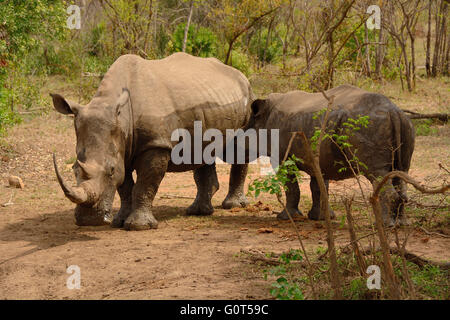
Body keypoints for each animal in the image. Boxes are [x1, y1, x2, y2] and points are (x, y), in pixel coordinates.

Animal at [51, 52, 253, 230]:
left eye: (111, 170)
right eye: (74, 169)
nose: (89, 221)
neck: (121, 117)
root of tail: (240, 74)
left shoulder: (155, 144)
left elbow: (145, 184)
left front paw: (138, 226)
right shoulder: (122, 148)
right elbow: (125, 187)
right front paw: (119, 221)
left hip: (247, 96)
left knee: (239, 147)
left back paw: (233, 206)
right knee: (203, 151)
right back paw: (197, 211)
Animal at [246, 84, 414, 226]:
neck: (264, 116)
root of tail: (393, 111)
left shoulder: (282, 157)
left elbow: (291, 185)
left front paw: (285, 218)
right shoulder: (319, 154)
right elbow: (318, 186)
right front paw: (320, 217)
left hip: (369, 125)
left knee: (377, 173)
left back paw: (384, 225)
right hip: (406, 123)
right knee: (400, 172)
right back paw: (401, 224)